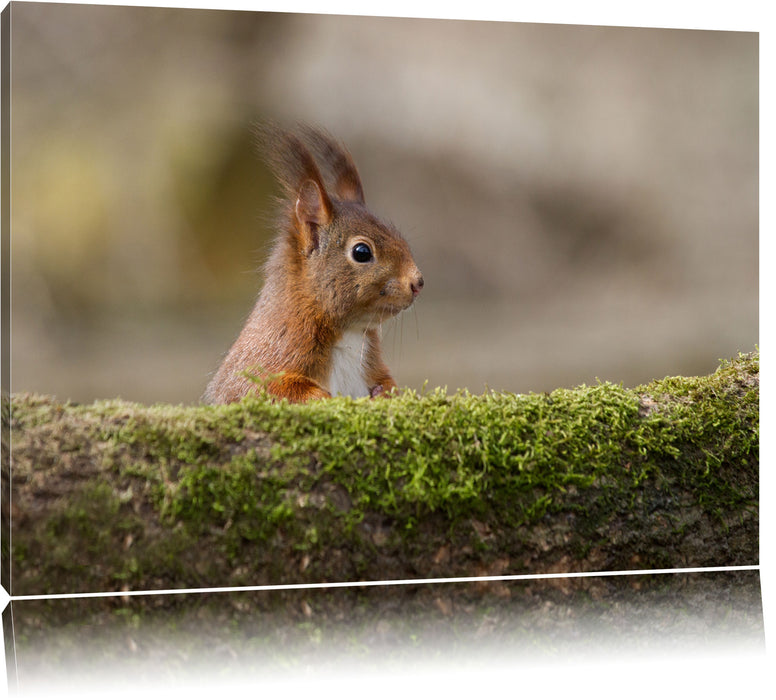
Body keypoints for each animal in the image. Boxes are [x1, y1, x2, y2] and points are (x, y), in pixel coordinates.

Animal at [203, 125, 424, 404]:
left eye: (397, 234)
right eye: (361, 252)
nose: (418, 282)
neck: (350, 333)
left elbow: (387, 383)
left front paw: (384, 393)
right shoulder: (268, 360)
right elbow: (271, 389)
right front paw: (324, 397)